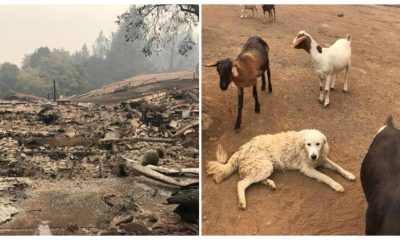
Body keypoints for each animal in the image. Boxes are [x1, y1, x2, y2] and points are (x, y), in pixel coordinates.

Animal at [208, 129, 354, 210]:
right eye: (309, 144)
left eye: (318, 144)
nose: (313, 156)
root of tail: (241, 150)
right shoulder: (307, 169)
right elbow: (326, 177)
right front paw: (337, 185)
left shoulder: (322, 159)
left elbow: (338, 166)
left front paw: (349, 175)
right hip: (265, 166)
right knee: (241, 183)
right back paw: (242, 202)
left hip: (264, 167)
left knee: (251, 179)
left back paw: (269, 183)